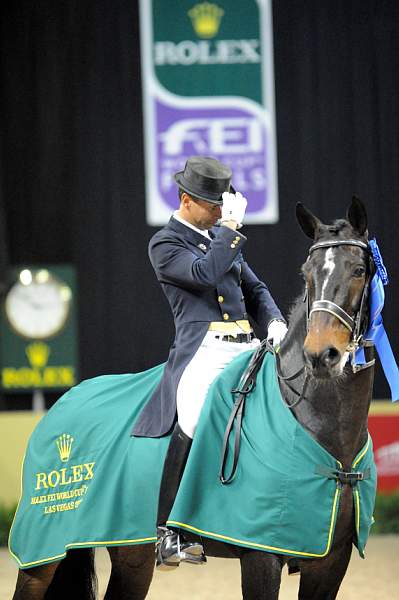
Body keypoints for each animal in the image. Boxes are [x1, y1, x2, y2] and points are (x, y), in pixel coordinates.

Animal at [11, 199, 376, 596]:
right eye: (306, 273)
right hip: (42, 553)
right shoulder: (260, 555)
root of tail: (62, 404)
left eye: (359, 270)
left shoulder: (330, 561)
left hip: (131, 552)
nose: (320, 356)